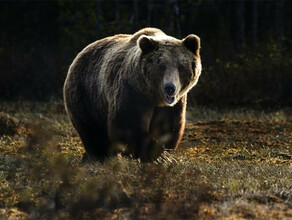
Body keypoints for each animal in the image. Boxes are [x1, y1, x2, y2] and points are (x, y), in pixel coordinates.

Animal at [63, 27, 202, 162]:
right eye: (161, 66)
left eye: (180, 67)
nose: (170, 88)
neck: (154, 97)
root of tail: (80, 54)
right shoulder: (132, 92)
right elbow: (128, 124)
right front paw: (155, 154)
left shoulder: (172, 105)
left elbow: (168, 127)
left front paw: (163, 153)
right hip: (86, 95)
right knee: (93, 132)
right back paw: (100, 157)